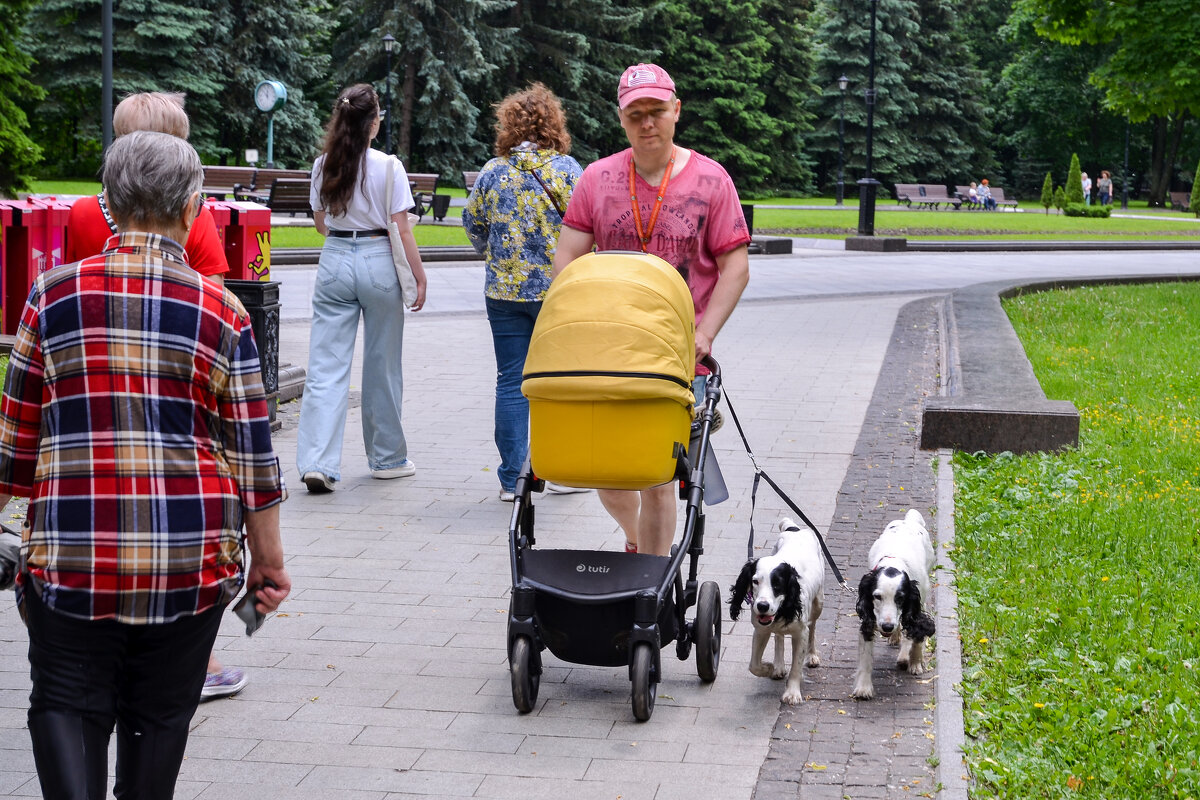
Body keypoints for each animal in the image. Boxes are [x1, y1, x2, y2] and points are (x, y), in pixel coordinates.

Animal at [729, 515, 825, 705]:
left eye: (777, 584)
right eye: (755, 581)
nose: (762, 606)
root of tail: (794, 528)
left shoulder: (800, 633)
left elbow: (796, 666)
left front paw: (792, 693)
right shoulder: (761, 629)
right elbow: (754, 665)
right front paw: (769, 667)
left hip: (818, 604)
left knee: (813, 627)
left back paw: (812, 656)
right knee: (779, 637)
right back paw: (779, 665)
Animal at [854, 510, 936, 695]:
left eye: (900, 598)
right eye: (877, 597)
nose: (887, 627)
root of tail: (909, 521)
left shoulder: (917, 603)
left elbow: (915, 634)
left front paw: (915, 662)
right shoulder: (871, 617)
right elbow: (866, 657)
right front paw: (863, 687)